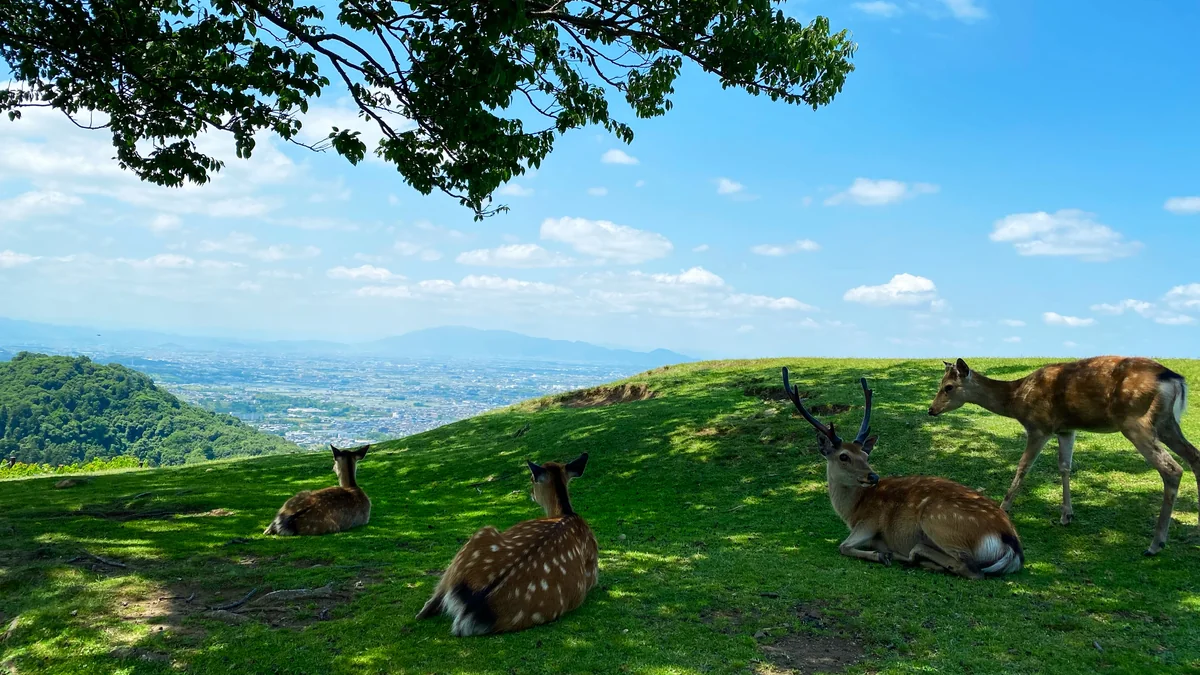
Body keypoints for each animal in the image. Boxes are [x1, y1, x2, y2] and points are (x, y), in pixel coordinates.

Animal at [783, 368, 1024, 579]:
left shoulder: (869, 521)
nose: (873, 477)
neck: (852, 510)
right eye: (844, 456)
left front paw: (881, 555)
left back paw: (909, 554)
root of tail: (1011, 543)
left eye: (865, 455)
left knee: (971, 568)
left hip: (938, 521)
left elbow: (843, 546)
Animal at [928, 356, 1197, 556]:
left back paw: (1155, 544)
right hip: (1166, 423)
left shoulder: (1039, 426)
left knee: (1172, 468)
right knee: (1195, 456)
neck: (1017, 399)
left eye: (948, 387)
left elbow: (1023, 466)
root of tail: (1175, 380)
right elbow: (1065, 466)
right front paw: (1066, 515)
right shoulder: (1067, 429)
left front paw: (1004, 507)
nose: (931, 409)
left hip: (1136, 421)